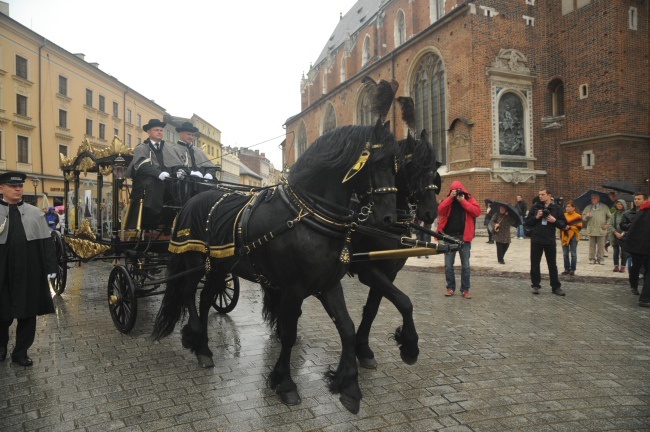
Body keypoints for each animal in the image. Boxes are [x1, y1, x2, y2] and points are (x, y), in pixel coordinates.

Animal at [151, 116, 400, 414]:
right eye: (378, 163)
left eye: (396, 164)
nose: (389, 218)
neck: (307, 217)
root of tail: (192, 200)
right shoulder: (293, 289)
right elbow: (289, 334)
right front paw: (285, 382)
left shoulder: (328, 284)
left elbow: (347, 328)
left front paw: (349, 385)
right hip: (195, 260)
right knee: (188, 292)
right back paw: (195, 335)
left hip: (220, 268)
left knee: (206, 298)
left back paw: (203, 348)